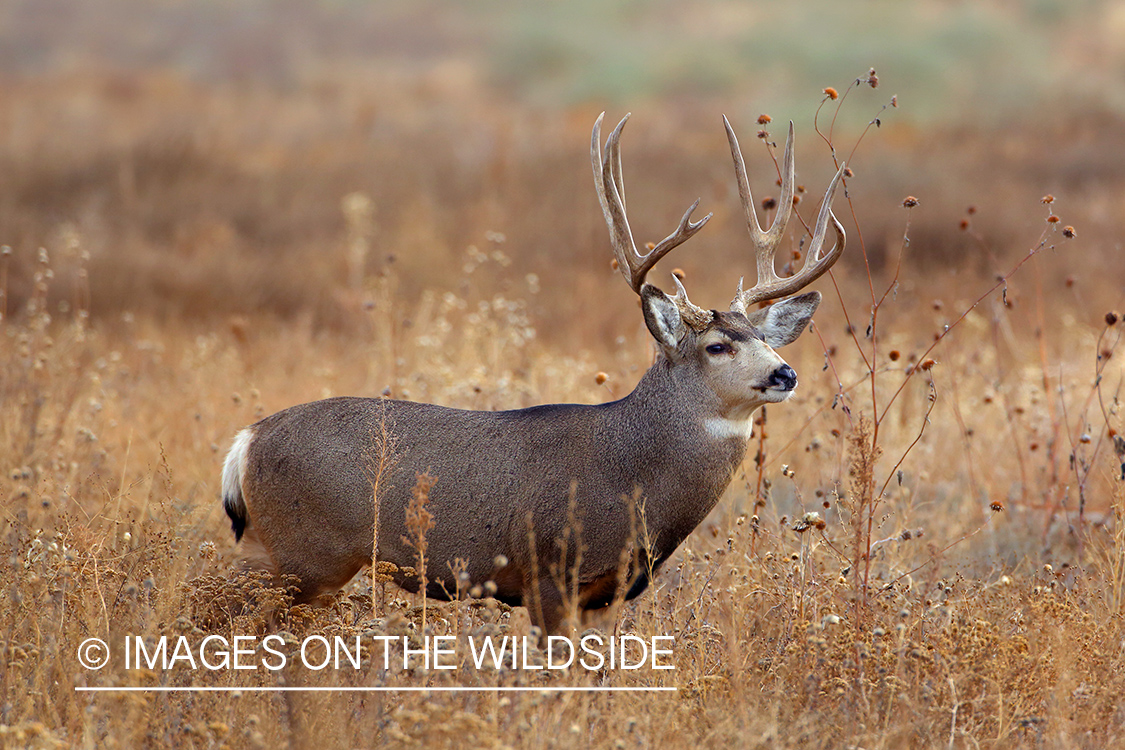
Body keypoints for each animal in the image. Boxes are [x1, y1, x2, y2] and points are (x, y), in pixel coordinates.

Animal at [221, 111, 846, 638]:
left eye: (764, 338)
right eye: (717, 346)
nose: (785, 373)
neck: (632, 473)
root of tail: (245, 442)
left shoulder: (606, 595)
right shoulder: (549, 575)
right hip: (302, 558)